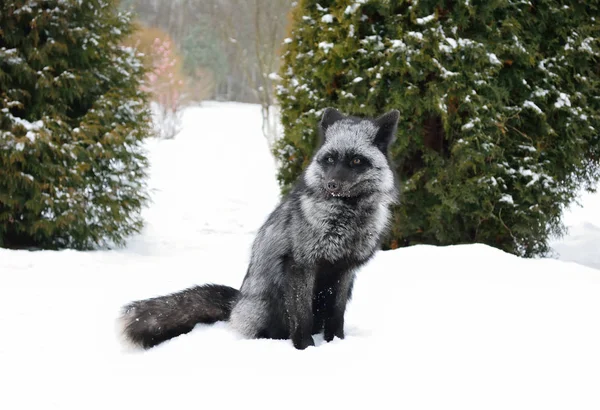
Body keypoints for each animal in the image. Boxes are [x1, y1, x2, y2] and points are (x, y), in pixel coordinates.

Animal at [119, 107, 400, 350]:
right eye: (330, 159)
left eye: (356, 160)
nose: (331, 185)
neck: (345, 219)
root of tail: (236, 303)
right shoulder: (300, 265)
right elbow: (302, 318)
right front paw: (306, 349)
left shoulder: (344, 270)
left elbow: (336, 315)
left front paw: (336, 343)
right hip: (268, 305)